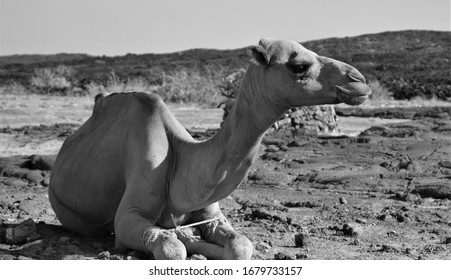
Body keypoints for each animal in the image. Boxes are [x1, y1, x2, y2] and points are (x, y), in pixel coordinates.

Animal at [48, 38, 370, 260]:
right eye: (300, 65)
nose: (359, 81)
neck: (182, 162)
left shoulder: (212, 214)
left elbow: (241, 245)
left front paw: (201, 242)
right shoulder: (128, 215)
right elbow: (171, 248)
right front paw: (181, 242)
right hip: (71, 214)